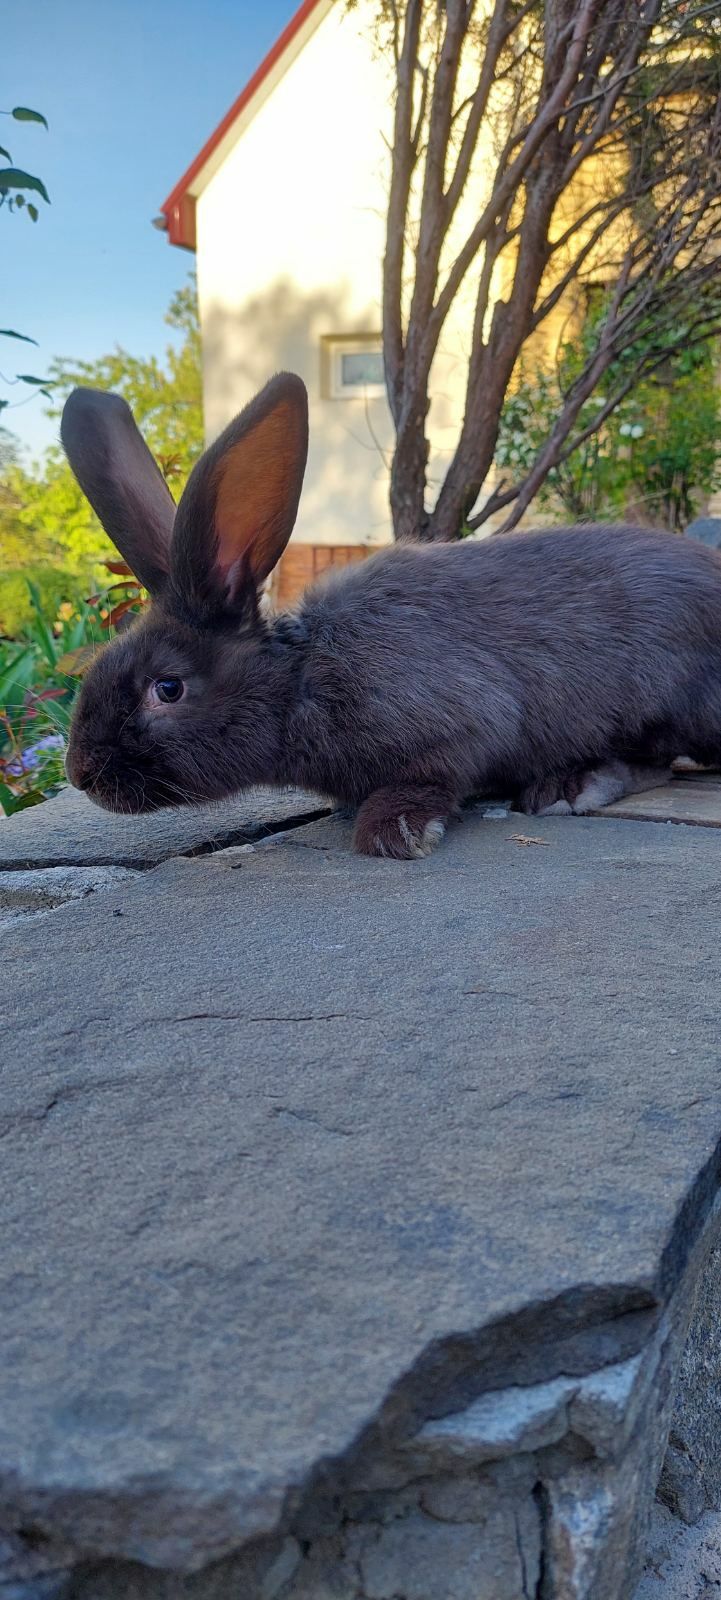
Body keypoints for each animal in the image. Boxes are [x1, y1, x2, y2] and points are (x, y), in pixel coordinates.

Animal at [61, 371, 721, 864]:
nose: (80, 774)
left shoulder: (460, 724)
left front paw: (394, 831)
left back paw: (570, 788)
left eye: (167, 688)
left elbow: (436, 774)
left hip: (663, 699)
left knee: (656, 762)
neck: (300, 681)